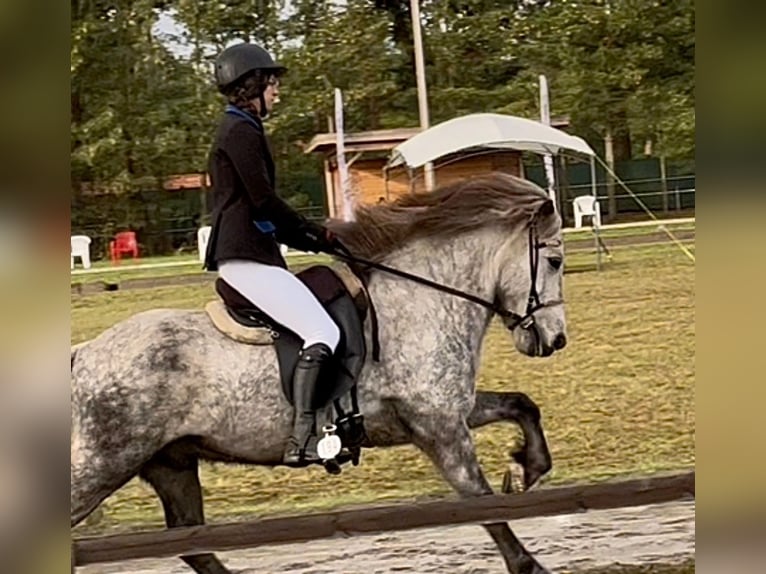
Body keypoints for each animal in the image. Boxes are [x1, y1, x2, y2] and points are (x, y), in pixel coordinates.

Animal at [71, 172, 568, 574]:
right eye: (555, 262)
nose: (555, 339)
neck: (417, 300)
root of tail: (85, 354)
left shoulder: (450, 411)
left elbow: (522, 405)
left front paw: (527, 467)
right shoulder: (440, 427)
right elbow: (482, 503)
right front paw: (527, 562)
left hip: (171, 464)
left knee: (194, 543)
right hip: (100, 465)